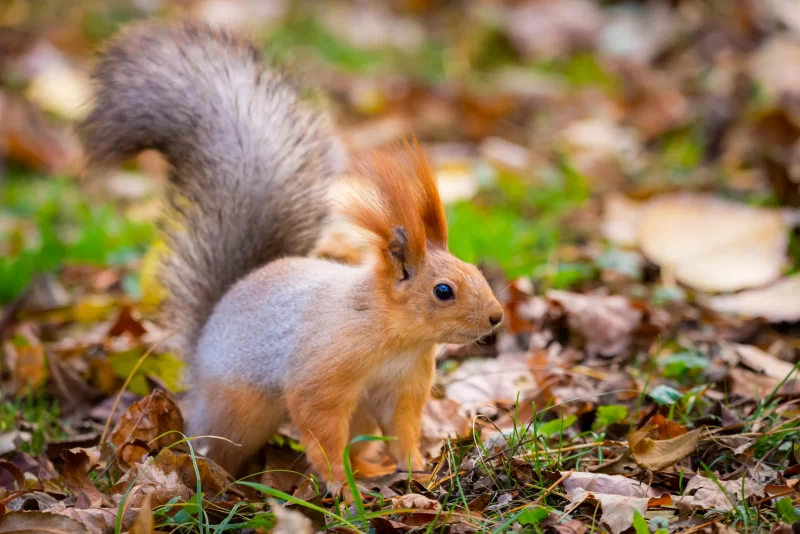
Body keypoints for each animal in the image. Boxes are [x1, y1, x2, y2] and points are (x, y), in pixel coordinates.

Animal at [79, 20, 504, 490]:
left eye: (474, 270)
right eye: (443, 290)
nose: (496, 317)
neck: (394, 336)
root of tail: (203, 342)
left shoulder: (404, 386)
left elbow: (403, 429)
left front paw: (417, 467)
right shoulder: (323, 375)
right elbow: (320, 428)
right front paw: (340, 485)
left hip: (358, 416)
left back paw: (369, 470)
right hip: (239, 412)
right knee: (223, 447)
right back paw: (224, 479)